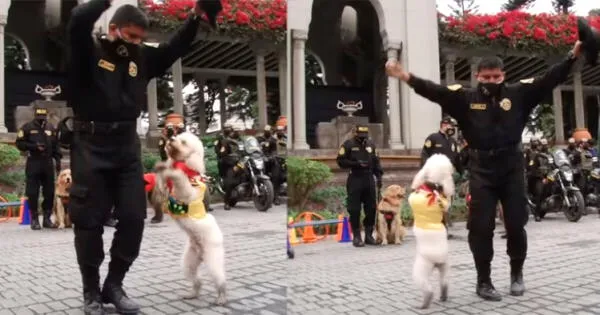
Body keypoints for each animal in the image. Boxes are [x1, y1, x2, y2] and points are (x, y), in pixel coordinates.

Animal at [155, 132, 227, 308]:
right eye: (177, 136)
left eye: (183, 142)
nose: (171, 138)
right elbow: (162, 181)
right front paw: (162, 169)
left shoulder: (187, 193)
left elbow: (177, 177)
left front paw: (171, 172)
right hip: (189, 262)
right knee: (197, 281)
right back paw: (192, 294)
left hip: (212, 257)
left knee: (220, 279)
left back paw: (221, 297)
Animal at [408, 154, 454, 310]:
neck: (433, 187)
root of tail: (437, 261)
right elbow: (446, 204)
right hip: (445, 265)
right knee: (444, 282)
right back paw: (443, 296)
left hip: (421, 268)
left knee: (427, 288)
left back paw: (424, 303)